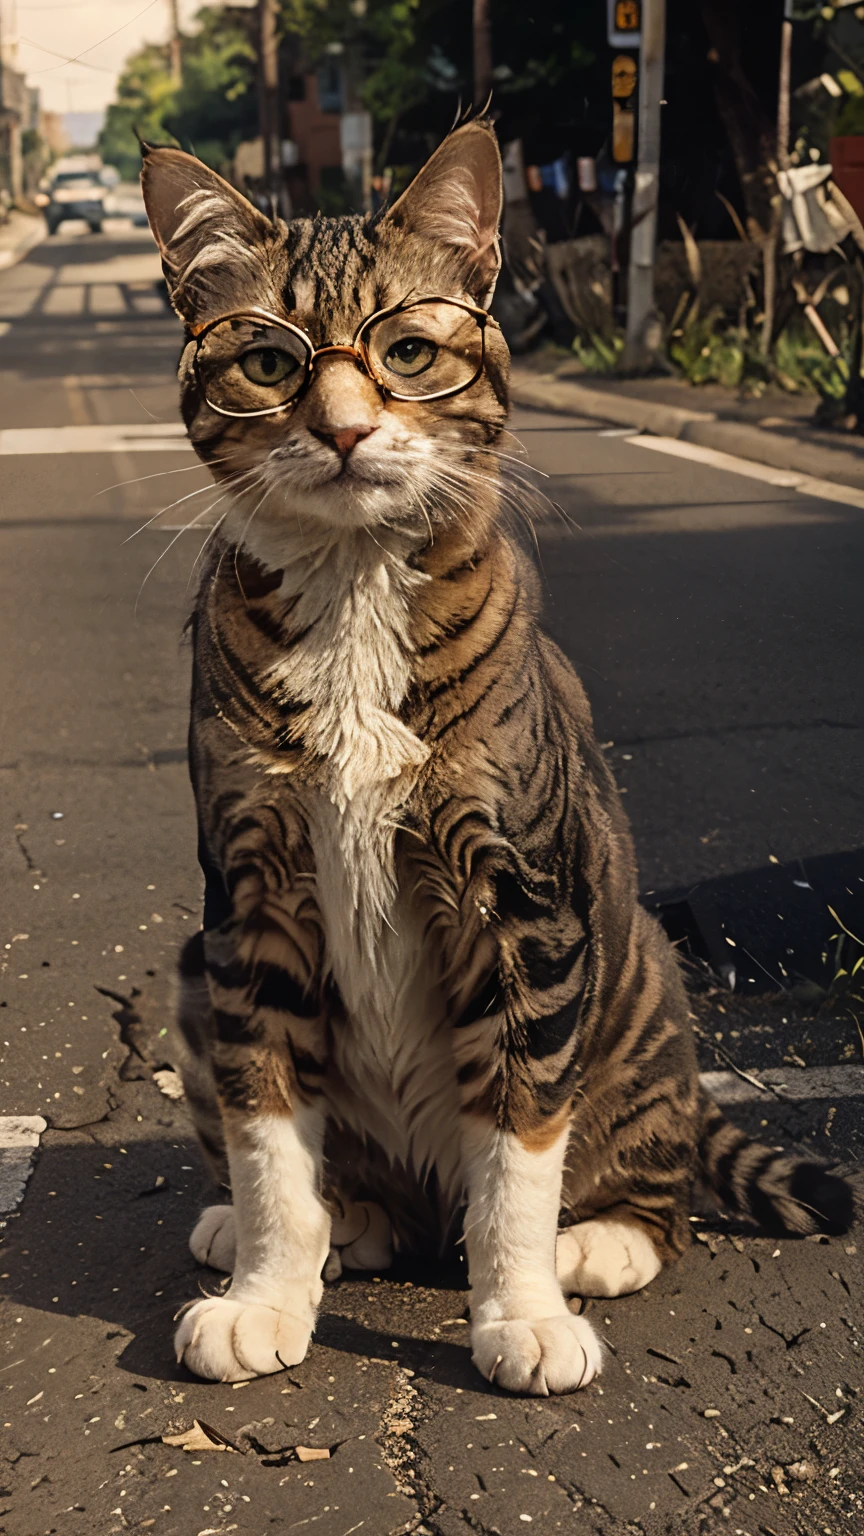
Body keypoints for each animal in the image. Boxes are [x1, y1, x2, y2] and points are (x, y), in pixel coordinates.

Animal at [141, 119, 848, 1394]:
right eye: (269, 363)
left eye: (409, 349)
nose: (342, 427)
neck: (356, 583)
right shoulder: (251, 897)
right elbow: (268, 1134)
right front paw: (265, 1291)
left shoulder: (525, 905)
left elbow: (519, 1147)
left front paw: (520, 1309)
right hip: (192, 962)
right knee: (329, 1177)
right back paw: (325, 1223)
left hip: (640, 976)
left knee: (644, 1188)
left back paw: (596, 1245)